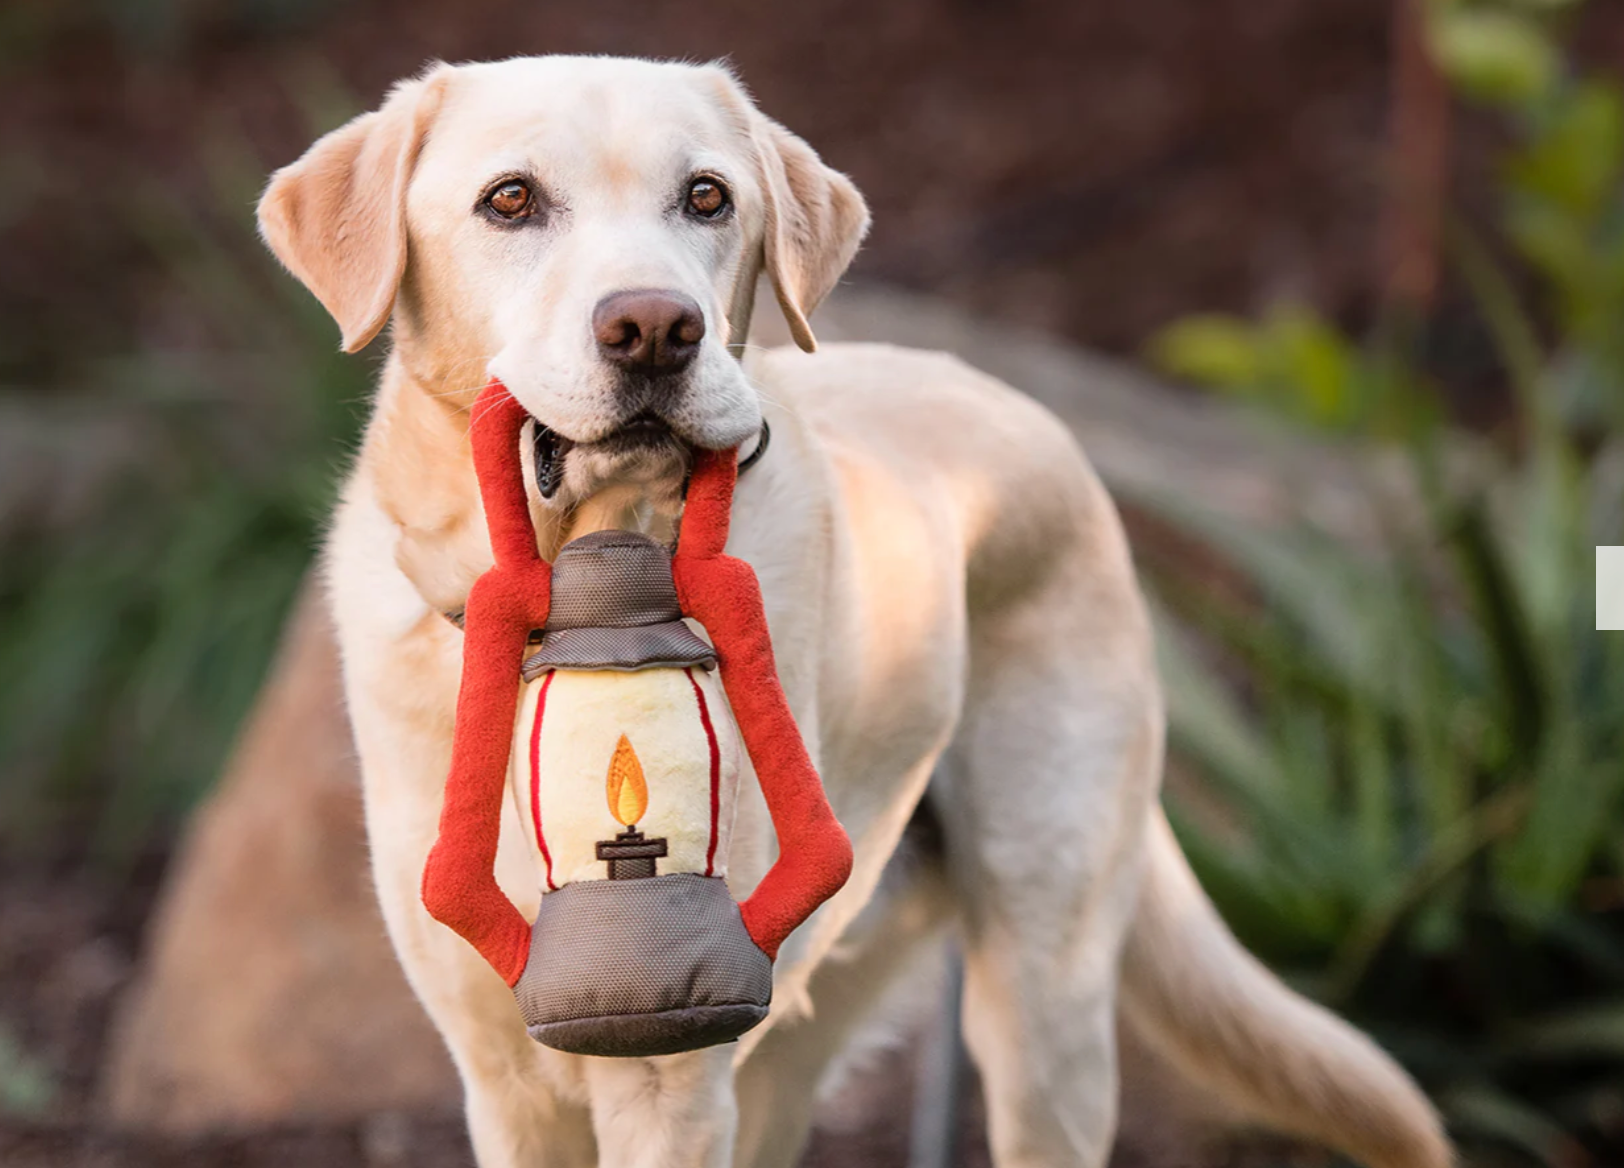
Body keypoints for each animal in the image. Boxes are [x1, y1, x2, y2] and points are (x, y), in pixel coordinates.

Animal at [259, 57, 1455, 1168]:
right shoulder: (508, 1079)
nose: (654, 327)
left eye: (706, 198)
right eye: (509, 201)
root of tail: (1028, 410)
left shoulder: (665, 1074)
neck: (590, 595)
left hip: (1043, 1009)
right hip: (797, 1037)